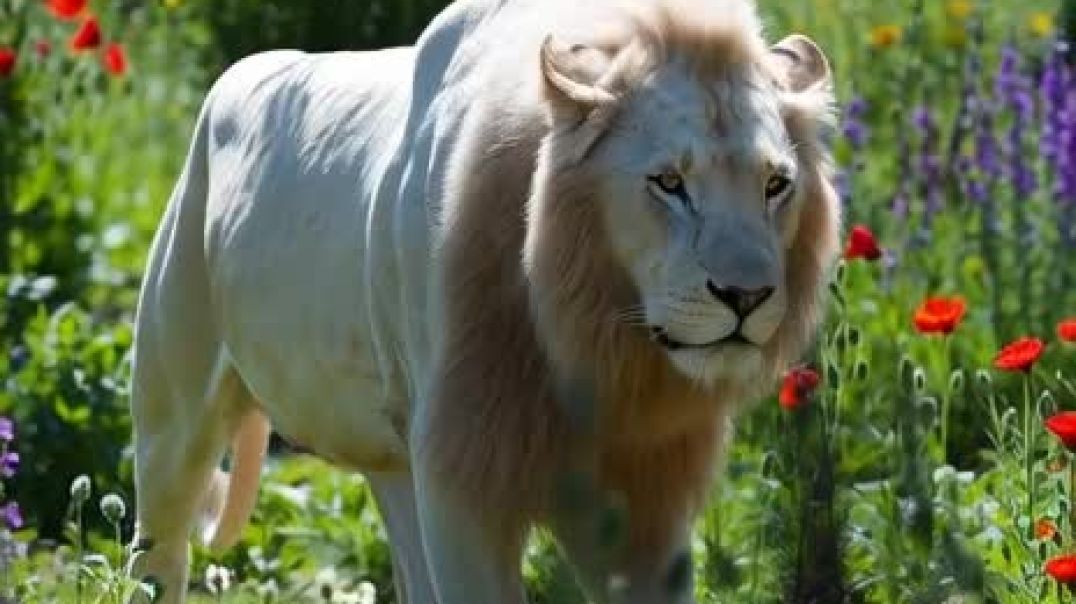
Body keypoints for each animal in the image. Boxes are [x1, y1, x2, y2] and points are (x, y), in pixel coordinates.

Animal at [126, 0, 840, 601]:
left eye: (775, 185)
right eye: (668, 182)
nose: (746, 296)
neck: (591, 341)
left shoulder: (643, 501)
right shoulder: (462, 477)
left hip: (393, 460)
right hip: (171, 417)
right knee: (156, 552)